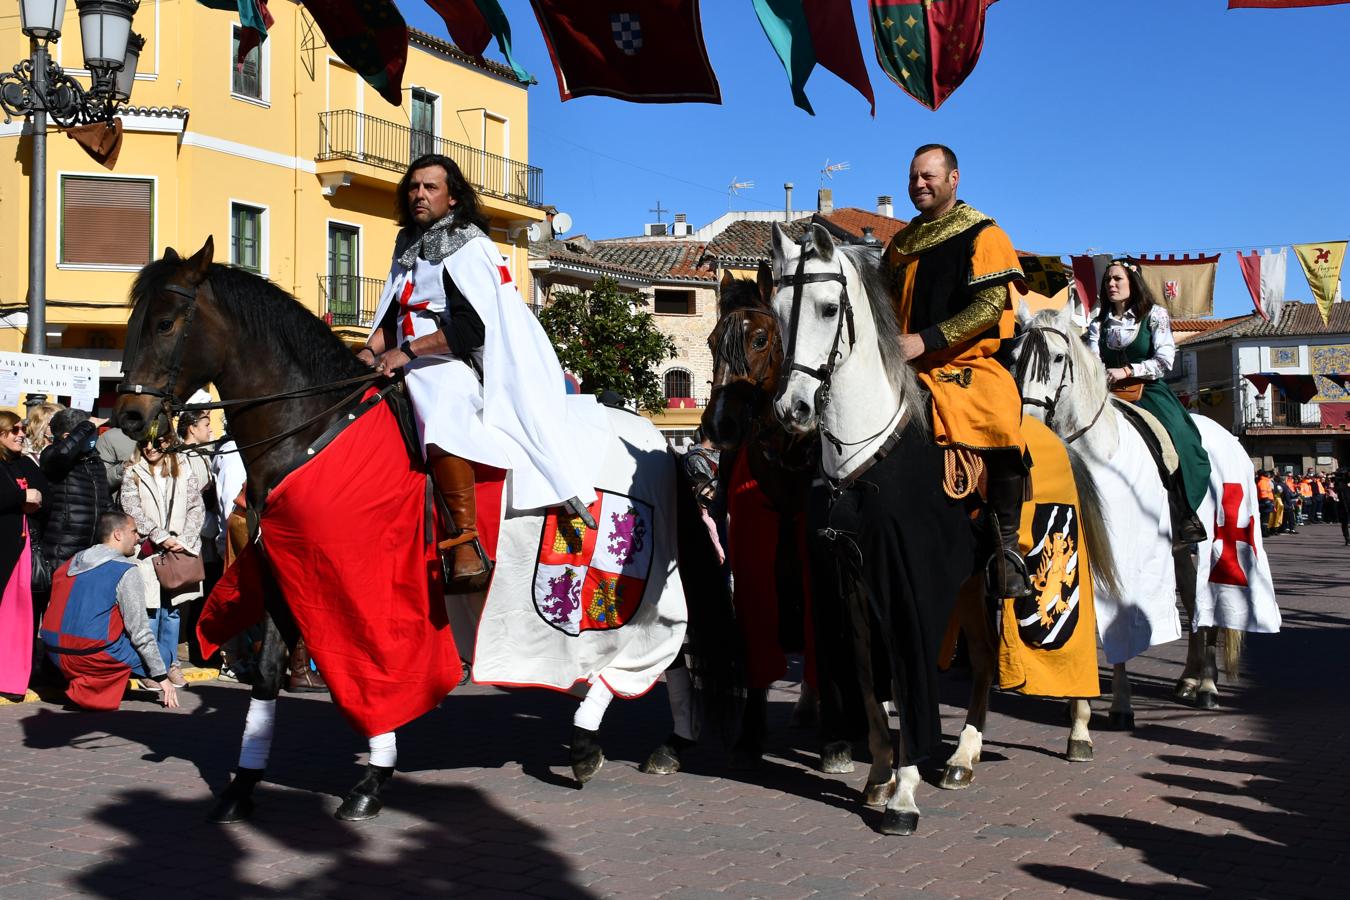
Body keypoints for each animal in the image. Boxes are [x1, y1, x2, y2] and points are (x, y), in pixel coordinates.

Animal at [1015, 302, 1279, 723]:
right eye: (1014, 358)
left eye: (1056, 357)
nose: (1029, 429)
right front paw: (1079, 707)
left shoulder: (1125, 553)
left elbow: (1120, 618)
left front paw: (1120, 704)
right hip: (1180, 549)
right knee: (1190, 598)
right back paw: (1189, 680)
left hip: (1217, 544)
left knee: (1207, 607)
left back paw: (1207, 686)